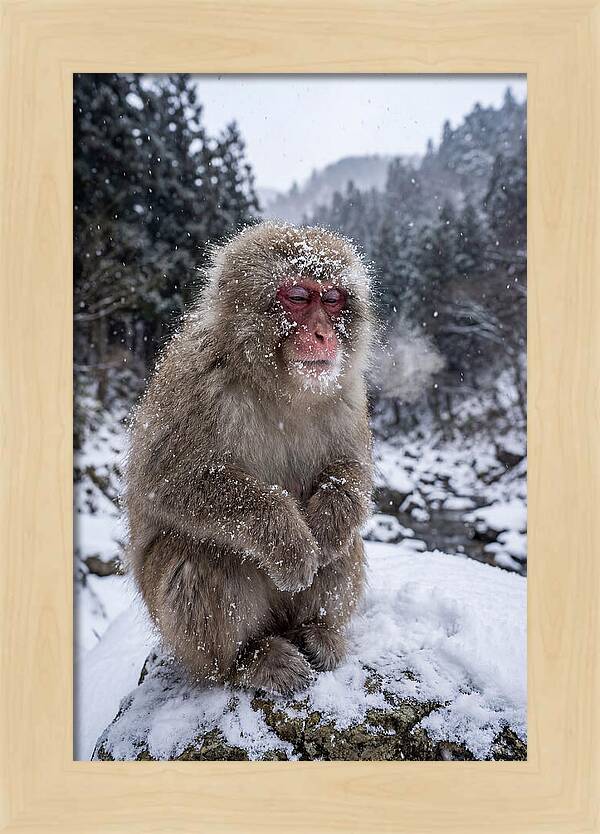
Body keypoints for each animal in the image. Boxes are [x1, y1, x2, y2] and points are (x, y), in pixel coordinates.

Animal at [125, 221, 374, 695]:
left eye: (333, 299)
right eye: (298, 296)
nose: (323, 334)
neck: (279, 386)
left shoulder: (348, 393)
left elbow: (351, 469)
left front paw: (327, 526)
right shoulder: (195, 380)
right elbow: (167, 482)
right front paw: (290, 541)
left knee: (346, 545)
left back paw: (317, 631)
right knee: (198, 555)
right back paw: (247, 661)